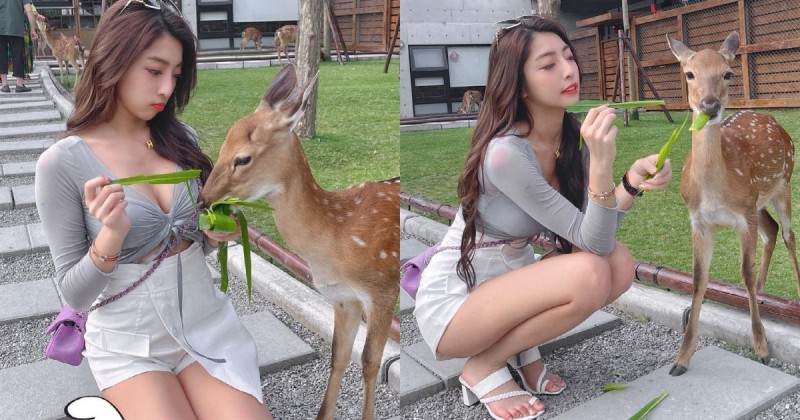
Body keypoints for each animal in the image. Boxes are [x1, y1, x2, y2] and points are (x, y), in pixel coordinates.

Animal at [199, 64, 400, 420]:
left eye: (243, 158)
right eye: (220, 147)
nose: (204, 199)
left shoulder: (382, 289)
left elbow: (369, 362)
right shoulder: (343, 298)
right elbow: (338, 355)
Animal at [667, 31, 800, 376]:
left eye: (727, 73)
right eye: (689, 73)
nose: (710, 105)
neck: (716, 191)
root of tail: (771, 118)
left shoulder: (743, 216)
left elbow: (745, 271)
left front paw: (761, 347)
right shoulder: (698, 220)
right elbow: (698, 279)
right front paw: (681, 359)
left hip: (783, 184)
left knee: (788, 234)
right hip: (759, 202)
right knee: (771, 230)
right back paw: (764, 293)